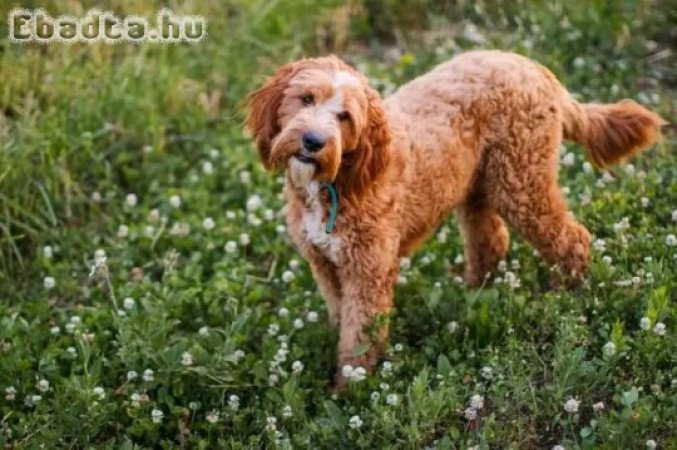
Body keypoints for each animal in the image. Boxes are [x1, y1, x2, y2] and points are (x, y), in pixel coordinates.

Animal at [246, 49, 664, 386]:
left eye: (345, 116)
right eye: (306, 98)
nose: (313, 142)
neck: (340, 180)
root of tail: (535, 68)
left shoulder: (368, 272)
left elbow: (359, 338)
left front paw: (350, 390)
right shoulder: (325, 264)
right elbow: (339, 315)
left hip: (522, 184)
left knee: (571, 238)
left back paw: (565, 294)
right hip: (477, 186)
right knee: (491, 240)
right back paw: (473, 293)